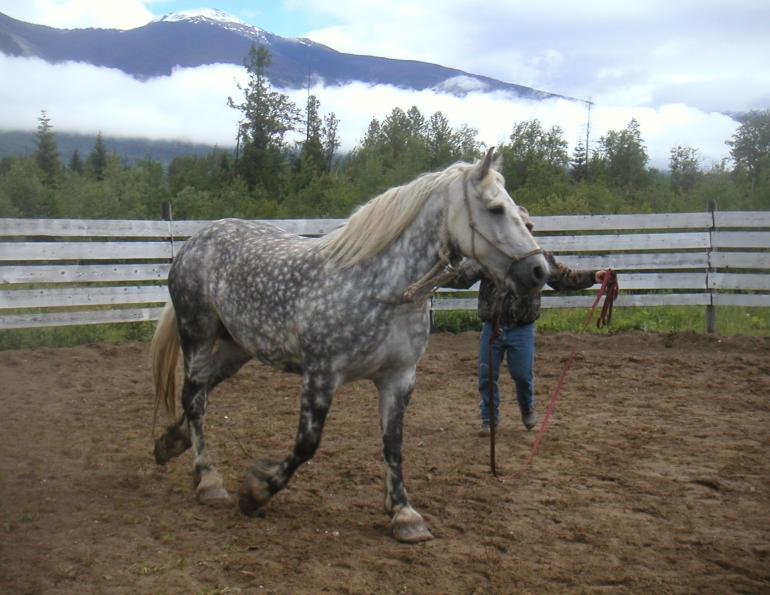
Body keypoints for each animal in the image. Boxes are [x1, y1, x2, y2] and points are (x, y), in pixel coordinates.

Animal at [150, 149, 548, 542]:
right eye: (495, 208)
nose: (539, 271)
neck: (377, 288)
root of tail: (194, 242)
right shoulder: (321, 375)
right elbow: (306, 444)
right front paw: (257, 492)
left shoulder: (399, 378)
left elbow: (393, 443)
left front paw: (403, 514)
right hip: (197, 335)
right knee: (195, 397)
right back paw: (207, 479)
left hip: (237, 349)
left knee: (201, 391)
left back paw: (171, 443)